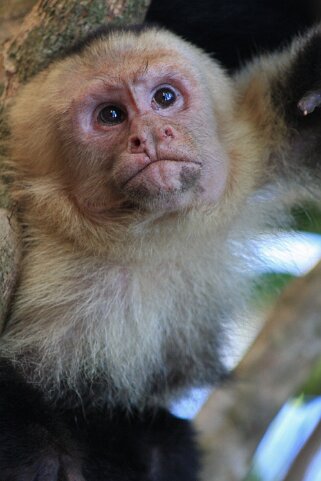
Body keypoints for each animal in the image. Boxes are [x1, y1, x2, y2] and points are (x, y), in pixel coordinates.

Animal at [3, 25, 321, 480]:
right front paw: (39, 452)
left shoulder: (255, 153)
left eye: (164, 98)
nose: (151, 134)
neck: (150, 236)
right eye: (111, 115)